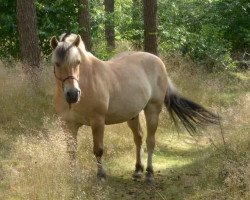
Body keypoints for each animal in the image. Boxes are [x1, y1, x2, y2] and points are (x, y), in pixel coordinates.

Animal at [49, 33, 219, 184]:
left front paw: (101, 175)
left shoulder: (98, 121)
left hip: (152, 110)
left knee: (150, 141)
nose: (72, 94)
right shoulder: (68, 124)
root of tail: (158, 61)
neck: (87, 81)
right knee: (138, 138)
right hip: (133, 115)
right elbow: (71, 150)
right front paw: (74, 177)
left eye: (77, 62)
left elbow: (98, 149)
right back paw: (138, 170)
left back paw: (149, 174)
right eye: (57, 63)